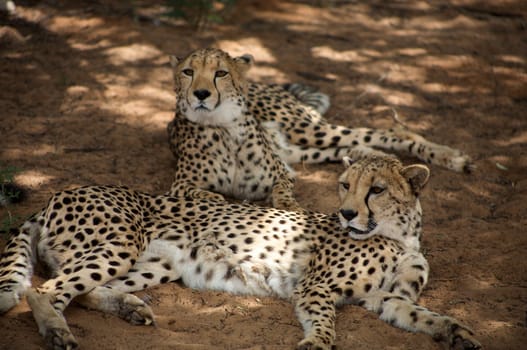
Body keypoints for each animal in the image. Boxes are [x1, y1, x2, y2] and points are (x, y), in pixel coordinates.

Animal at [0, 151, 480, 350]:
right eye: (345, 185)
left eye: (376, 190)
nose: (345, 213)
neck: (399, 235)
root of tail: (57, 194)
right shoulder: (315, 288)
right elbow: (325, 321)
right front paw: (316, 341)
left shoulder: (387, 298)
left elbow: (425, 315)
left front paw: (457, 332)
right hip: (121, 243)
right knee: (44, 290)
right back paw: (57, 332)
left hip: (157, 262)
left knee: (80, 291)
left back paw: (129, 307)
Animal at [167, 47, 472, 211]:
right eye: (188, 72)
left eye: (221, 73)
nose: (201, 94)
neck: (223, 127)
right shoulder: (180, 185)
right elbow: (203, 193)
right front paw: (219, 200)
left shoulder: (281, 176)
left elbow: (283, 192)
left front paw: (290, 208)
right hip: (298, 149)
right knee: (352, 146)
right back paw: (374, 157)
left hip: (305, 127)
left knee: (390, 132)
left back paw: (453, 158)